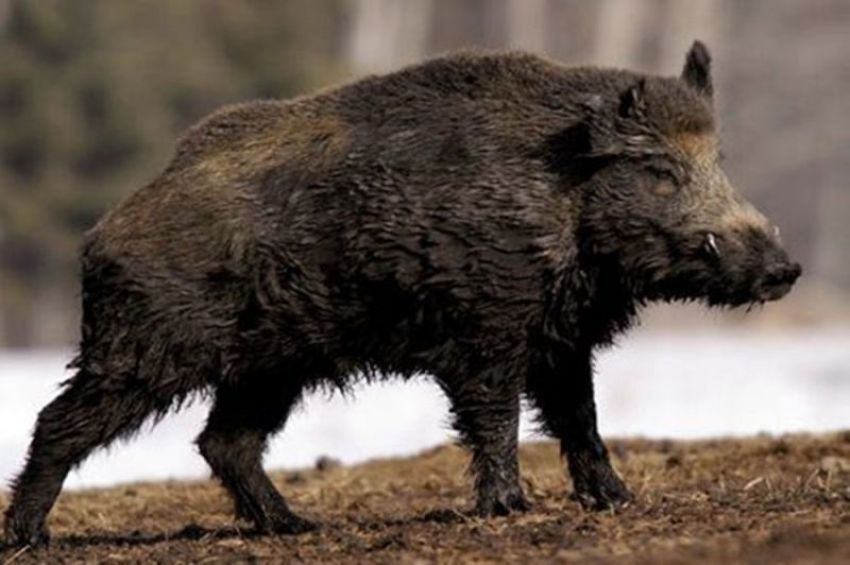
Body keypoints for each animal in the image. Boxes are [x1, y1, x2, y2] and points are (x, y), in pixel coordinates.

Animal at [3, 41, 800, 547]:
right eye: (661, 171)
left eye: (719, 161)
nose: (785, 269)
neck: (563, 203)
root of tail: (100, 234)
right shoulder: (487, 329)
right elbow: (496, 419)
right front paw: (509, 508)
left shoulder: (561, 337)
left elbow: (581, 418)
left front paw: (615, 499)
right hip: (143, 347)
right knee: (59, 422)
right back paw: (30, 536)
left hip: (269, 366)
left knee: (224, 440)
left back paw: (298, 526)